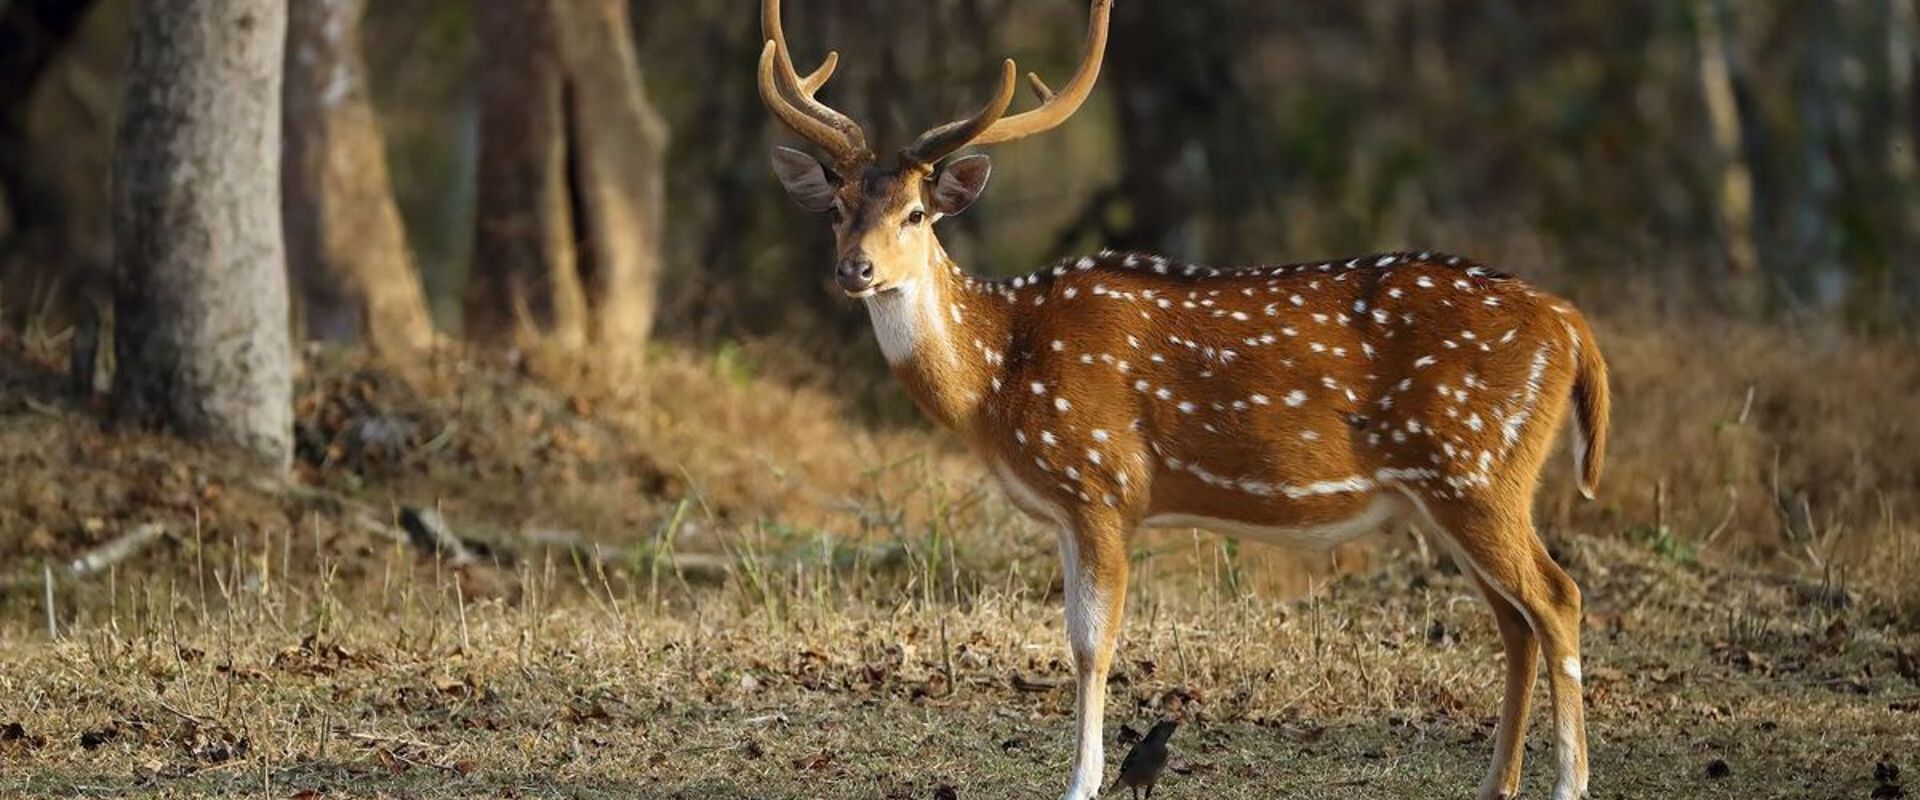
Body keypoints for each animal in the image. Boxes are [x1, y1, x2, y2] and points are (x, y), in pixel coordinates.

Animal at [757, 2, 1609, 798]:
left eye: (916, 213)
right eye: (836, 209)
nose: (855, 270)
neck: (1000, 379)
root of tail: (1572, 327)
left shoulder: (1103, 483)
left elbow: (1092, 643)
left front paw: (1079, 782)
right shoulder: (1064, 510)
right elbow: (1072, 635)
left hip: (1477, 466)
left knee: (1557, 598)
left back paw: (1568, 782)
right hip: (1458, 488)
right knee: (1514, 621)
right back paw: (1495, 783)